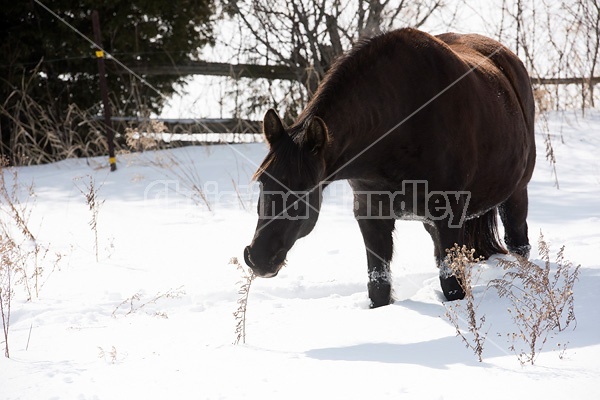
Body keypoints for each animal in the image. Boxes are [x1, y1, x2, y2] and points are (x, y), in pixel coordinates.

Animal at [244, 28, 536, 308]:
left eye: (303, 189)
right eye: (262, 182)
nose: (259, 258)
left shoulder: (449, 216)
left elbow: (452, 285)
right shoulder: (371, 215)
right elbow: (379, 287)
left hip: (516, 193)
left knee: (518, 244)